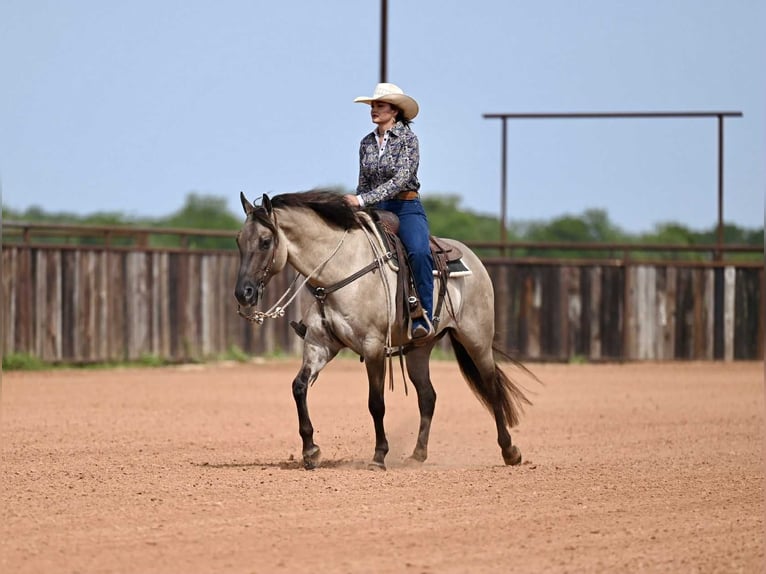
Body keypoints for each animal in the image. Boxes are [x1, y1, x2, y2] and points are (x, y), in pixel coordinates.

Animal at [234, 190, 531, 470]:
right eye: (239, 240)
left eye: (265, 241)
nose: (243, 293)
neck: (338, 270)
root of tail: (472, 258)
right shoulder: (319, 344)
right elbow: (299, 387)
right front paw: (310, 451)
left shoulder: (373, 346)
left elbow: (375, 402)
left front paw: (379, 456)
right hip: (419, 349)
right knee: (428, 396)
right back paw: (417, 455)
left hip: (477, 340)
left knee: (492, 387)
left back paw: (510, 451)